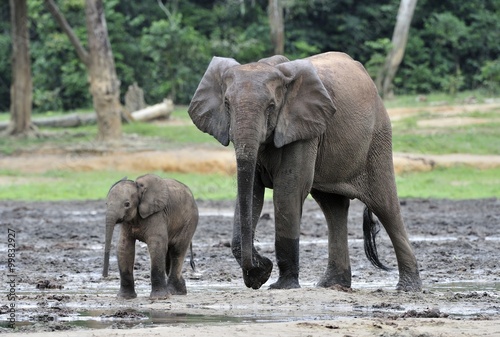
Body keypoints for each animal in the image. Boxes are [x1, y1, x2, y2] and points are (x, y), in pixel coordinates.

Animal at [188, 51, 422, 290]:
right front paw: (260, 274)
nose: (258, 267)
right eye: (226, 104)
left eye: (271, 106)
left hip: (378, 139)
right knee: (333, 207)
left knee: (385, 206)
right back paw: (331, 284)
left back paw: (408, 288)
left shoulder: (301, 129)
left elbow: (287, 192)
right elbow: (252, 192)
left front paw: (281, 285)